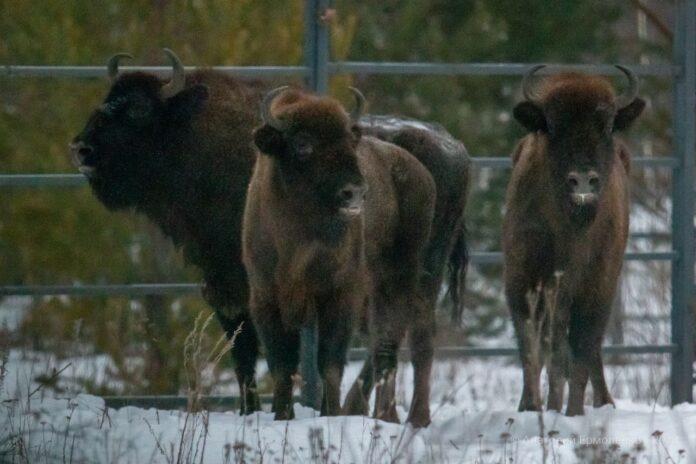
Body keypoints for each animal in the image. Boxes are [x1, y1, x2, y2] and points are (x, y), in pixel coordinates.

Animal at [243, 85, 436, 422]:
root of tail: (420, 172)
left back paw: (390, 416)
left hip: (400, 280)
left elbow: (329, 362)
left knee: (390, 344)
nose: (355, 192)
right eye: (302, 143)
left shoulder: (341, 295)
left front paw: (330, 414)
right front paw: (282, 415)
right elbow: (282, 364)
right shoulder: (265, 297)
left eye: (348, 141)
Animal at [502, 63, 644, 416]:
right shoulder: (523, 282)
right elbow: (534, 352)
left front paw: (574, 413)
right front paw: (532, 408)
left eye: (607, 125)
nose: (582, 180)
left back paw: (604, 402)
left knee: (587, 353)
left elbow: (579, 354)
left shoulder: (596, 289)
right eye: (552, 125)